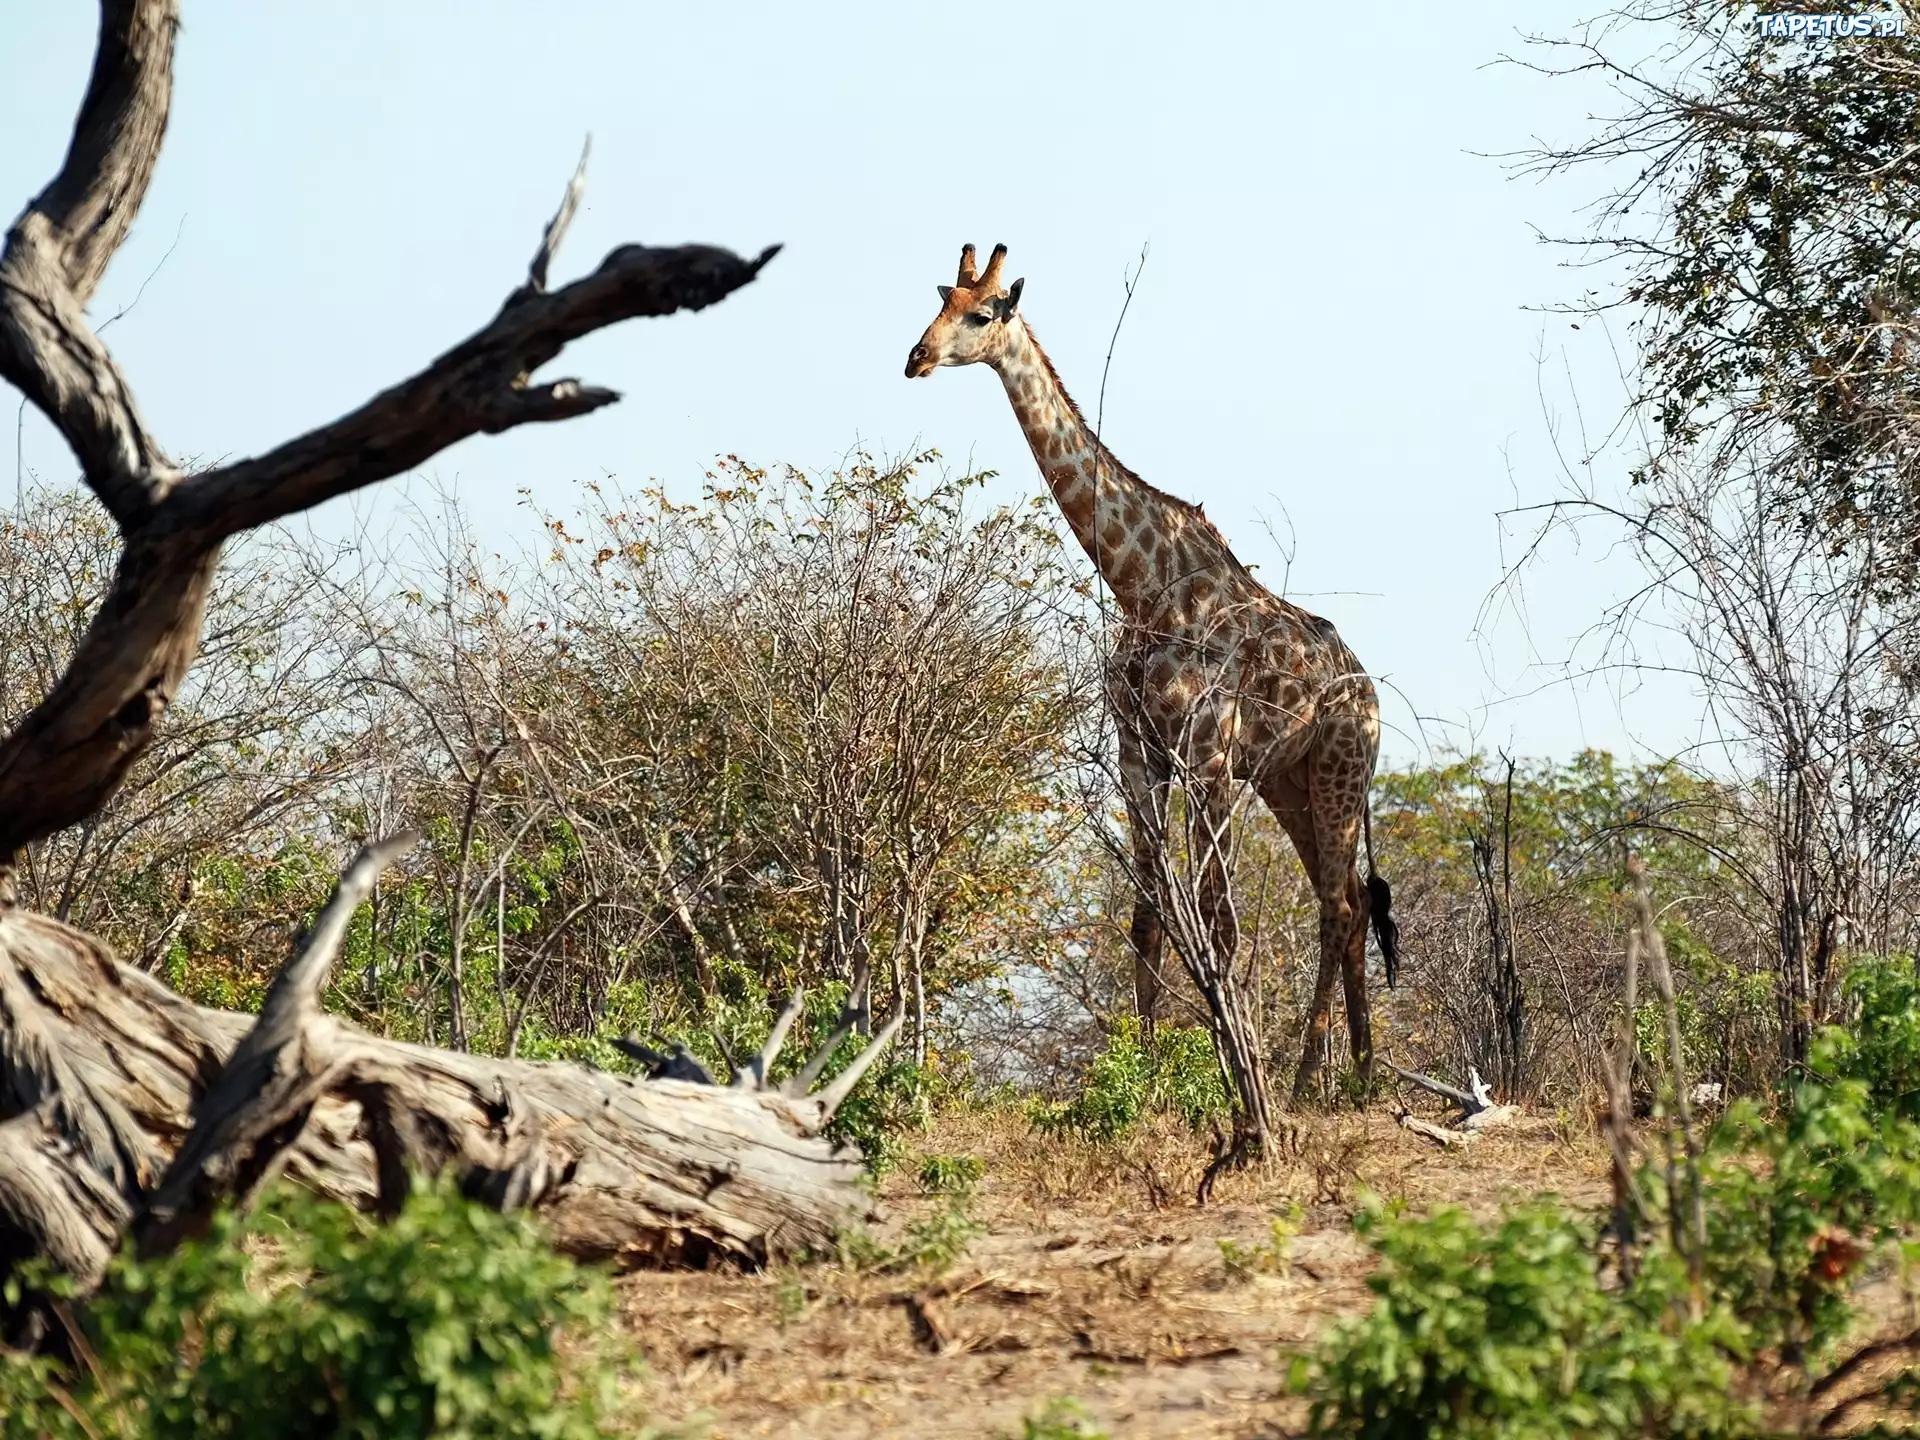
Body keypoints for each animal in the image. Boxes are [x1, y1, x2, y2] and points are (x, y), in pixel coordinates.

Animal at [898, 245, 1397, 1090]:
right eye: (938, 305)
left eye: (983, 313)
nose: (916, 357)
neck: (1140, 581)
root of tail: (1368, 693)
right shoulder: (1140, 753)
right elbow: (1146, 917)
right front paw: (1146, 1070)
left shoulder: (1208, 757)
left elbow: (1218, 920)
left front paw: (1234, 1071)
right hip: (1288, 783)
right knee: (1351, 906)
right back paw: (1352, 1075)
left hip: (1338, 772)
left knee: (1337, 906)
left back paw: (1314, 1081)